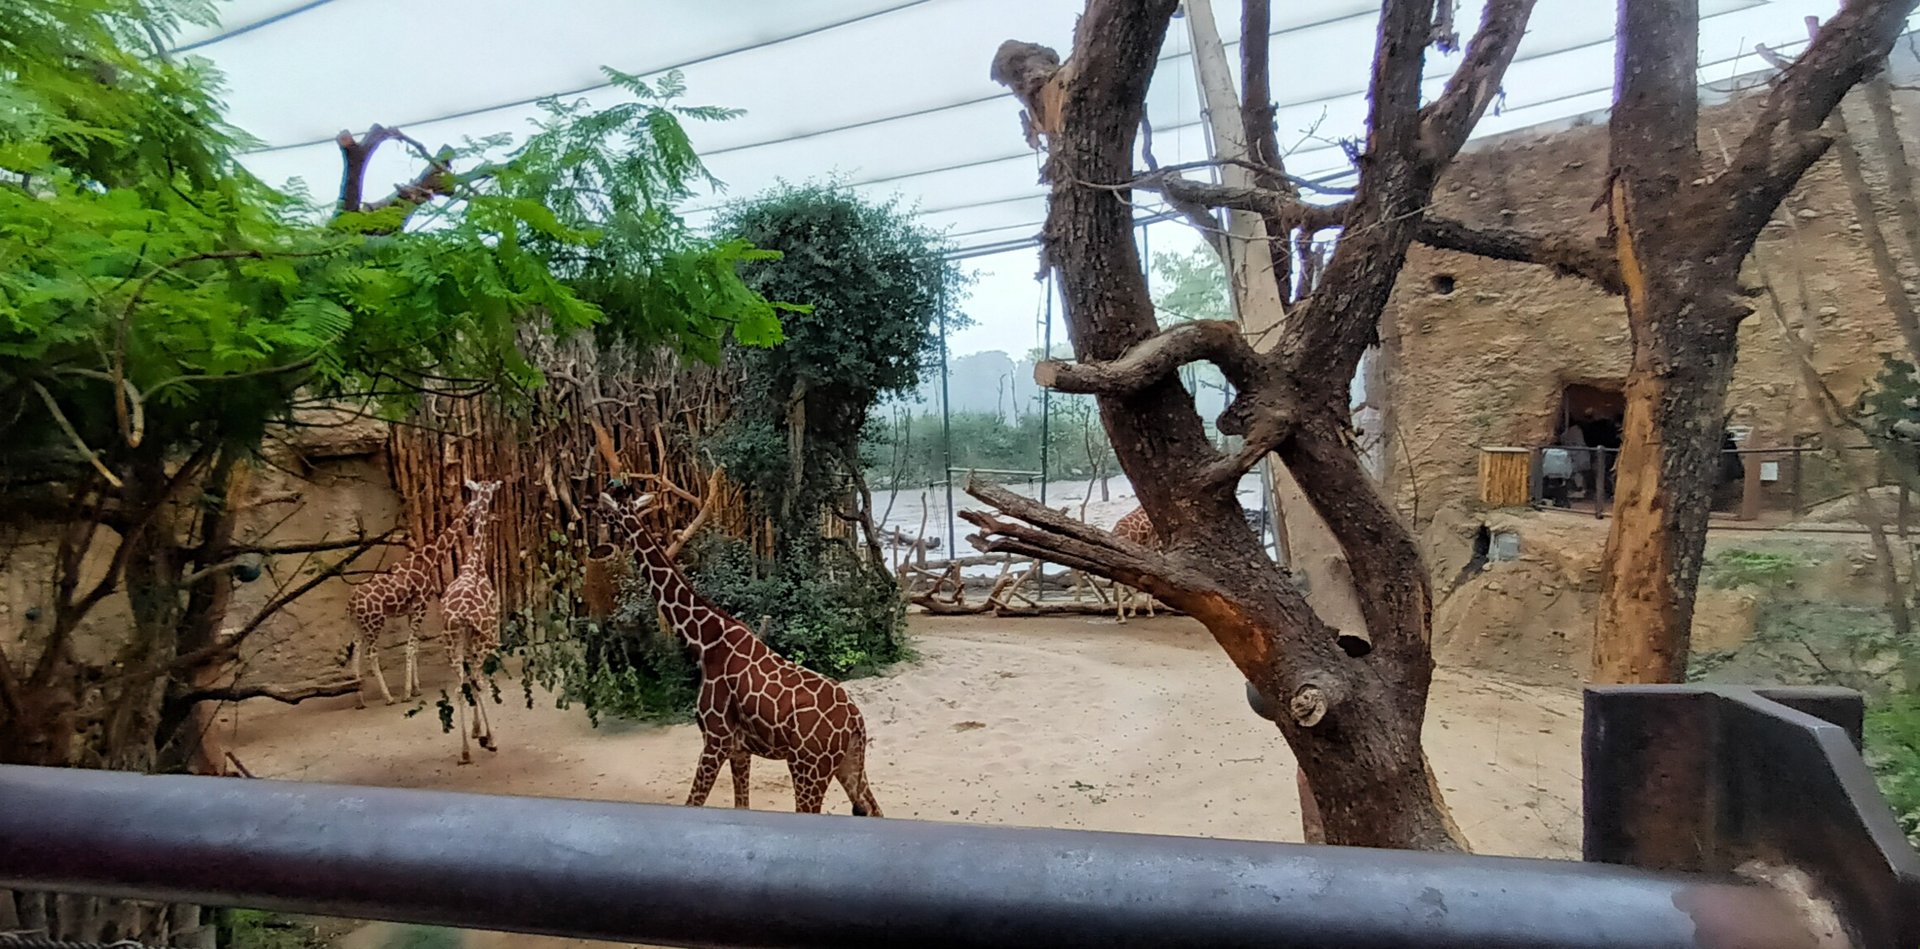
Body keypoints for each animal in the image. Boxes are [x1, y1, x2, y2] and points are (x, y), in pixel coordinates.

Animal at [346, 495, 479, 708]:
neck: (427, 560)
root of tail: (351, 602)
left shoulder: (411, 610)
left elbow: (415, 646)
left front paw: (416, 688)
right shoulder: (421, 606)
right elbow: (410, 646)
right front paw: (408, 692)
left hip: (357, 625)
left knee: (356, 652)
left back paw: (360, 700)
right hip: (374, 622)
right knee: (371, 654)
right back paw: (388, 697)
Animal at [598, 488, 882, 816]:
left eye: (608, 509)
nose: (595, 511)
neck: (704, 641)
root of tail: (856, 721)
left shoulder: (715, 739)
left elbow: (694, 802)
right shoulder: (739, 749)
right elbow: (741, 805)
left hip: (808, 767)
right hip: (848, 763)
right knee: (873, 808)